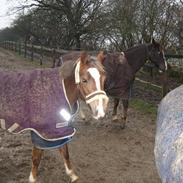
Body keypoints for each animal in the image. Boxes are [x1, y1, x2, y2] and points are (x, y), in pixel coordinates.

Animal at [0, 51, 108, 183]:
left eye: (104, 78)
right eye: (84, 80)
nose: (101, 111)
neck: (60, 90)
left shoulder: (59, 129)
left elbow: (65, 152)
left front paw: (72, 175)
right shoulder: (40, 133)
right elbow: (36, 158)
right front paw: (32, 178)